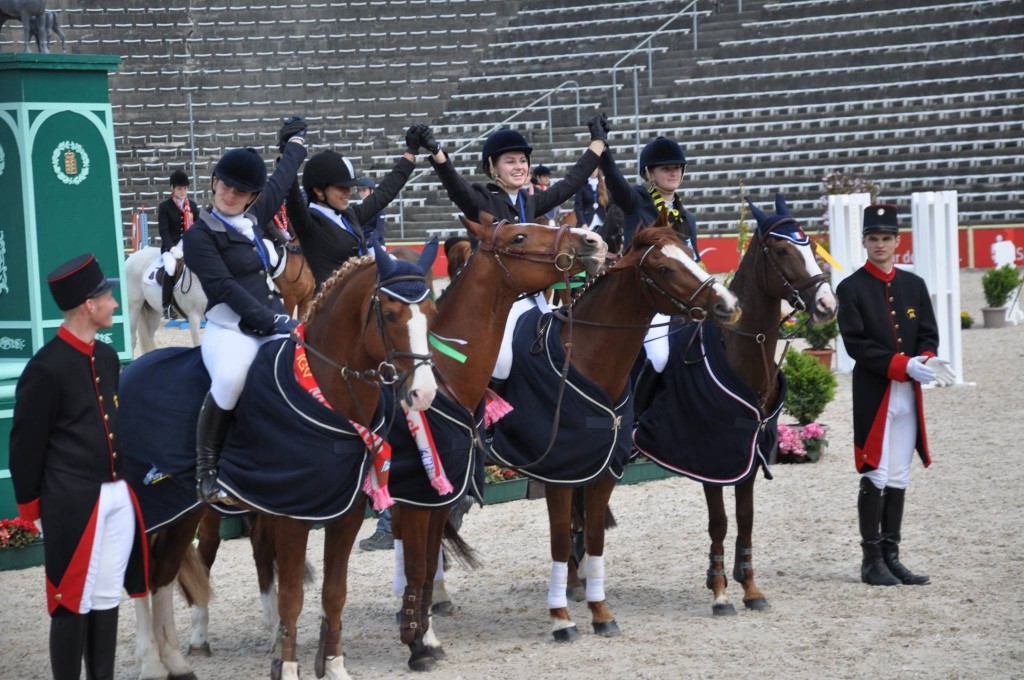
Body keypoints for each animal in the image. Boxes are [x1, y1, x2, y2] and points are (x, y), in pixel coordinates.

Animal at [120, 242, 440, 680]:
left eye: (432, 313)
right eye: (390, 315)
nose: (424, 393)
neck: (324, 393)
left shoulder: (346, 513)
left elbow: (334, 591)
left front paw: (334, 666)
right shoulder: (292, 512)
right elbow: (290, 594)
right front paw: (287, 666)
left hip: (182, 511)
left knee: (163, 576)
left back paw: (174, 661)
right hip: (150, 506)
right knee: (142, 577)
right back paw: (151, 661)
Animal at [489, 222, 741, 639]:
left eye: (692, 255)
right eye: (665, 269)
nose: (728, 305)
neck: (586, 360)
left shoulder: (603, 470)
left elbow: (594, 536)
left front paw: (600, 613)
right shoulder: (559, 473)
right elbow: (560, 539)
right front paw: (561, 619)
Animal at [630, 192, 839, 614]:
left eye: (810, 245)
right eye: (782, 250)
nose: (827, 304)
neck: (742, 351)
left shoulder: (749, 454)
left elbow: (746, 517)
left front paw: (750, 587)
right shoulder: (711, 456)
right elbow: (720, 522)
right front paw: (720, 591)